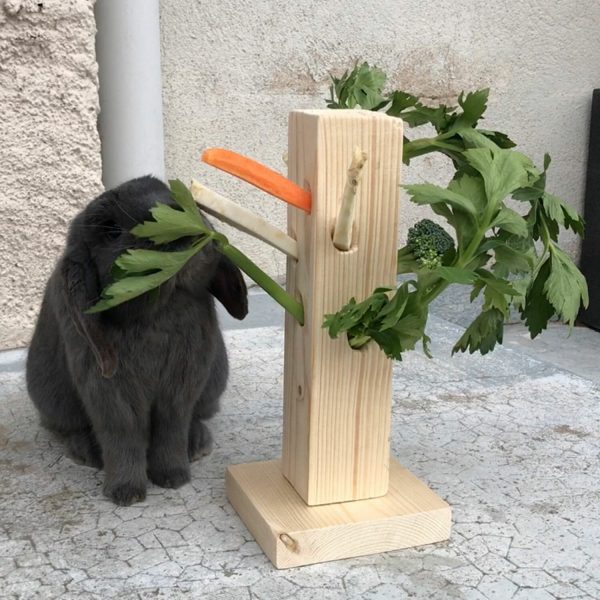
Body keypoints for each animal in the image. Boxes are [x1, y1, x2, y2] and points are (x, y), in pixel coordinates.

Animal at [25, 176, 246, 504]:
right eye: (111, 231)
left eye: (165, 188)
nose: (170, 209)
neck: (158, 313)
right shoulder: (109, 391)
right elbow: (123, 435)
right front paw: (125, 493)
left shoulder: (181, 384)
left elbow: (172, 426)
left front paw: (173, 478)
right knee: (74, 429)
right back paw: (87, 452)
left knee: (197, 419)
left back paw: (197, 444)